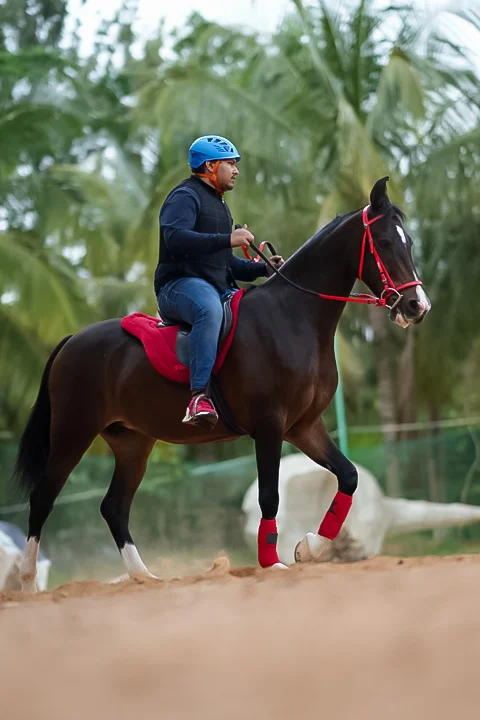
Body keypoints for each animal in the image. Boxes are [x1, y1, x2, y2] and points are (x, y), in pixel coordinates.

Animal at [12, 176, 430, 590]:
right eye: (385, 242)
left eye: (408, 241)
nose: (417, 307)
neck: (292, 317)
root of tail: (71, 341)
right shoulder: (269, 426)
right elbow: (269, 496)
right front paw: (271, 562)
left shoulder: (304, 426)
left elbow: (348, 476)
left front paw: (309, 546)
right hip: (72, 432)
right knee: (43, 498)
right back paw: (29, 582)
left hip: (132, 443)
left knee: (114, 506)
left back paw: (144, 576)